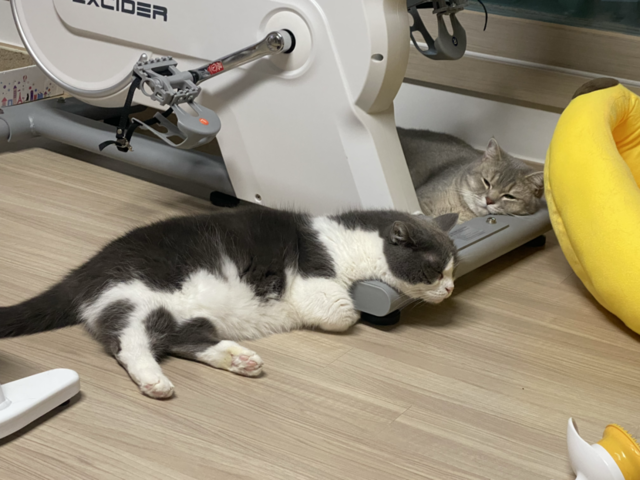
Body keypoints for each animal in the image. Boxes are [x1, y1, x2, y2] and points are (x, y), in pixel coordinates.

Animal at [0, 207, 458, 399]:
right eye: (436, 271)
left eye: (454, 267)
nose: (452, 290)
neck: (346, 241)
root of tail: (84, 270)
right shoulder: (315, 279)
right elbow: (343, 312)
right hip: (136, 295)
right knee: (130, 343)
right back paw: (154, 381)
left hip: (182, 314)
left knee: (181, 339)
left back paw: (239, 359)